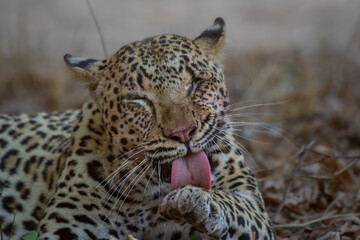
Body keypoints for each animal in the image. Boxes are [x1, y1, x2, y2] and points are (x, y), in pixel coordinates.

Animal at [0, 17, 276, 239]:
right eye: (139, 99)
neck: (152, 197)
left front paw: (195, 200)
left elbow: (232, 205)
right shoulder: (66, 226)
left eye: (195, 83)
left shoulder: (254, 210)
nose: (183, 132)